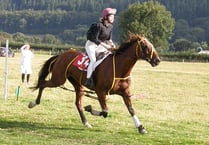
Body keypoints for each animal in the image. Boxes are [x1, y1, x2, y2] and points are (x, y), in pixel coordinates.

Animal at [28, 32, 161, 134]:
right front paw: (90, 108)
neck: (119, 69)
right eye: (144, 46)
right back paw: (33, 103)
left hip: (78, 85)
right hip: (58, 79)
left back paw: (86, 122)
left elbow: (131, 110)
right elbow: (105, 111)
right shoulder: (100, 92)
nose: (157, 60)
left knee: (78, 103)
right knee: (43, 84)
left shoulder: (125, 92)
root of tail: (61, 55)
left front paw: (141, 128)